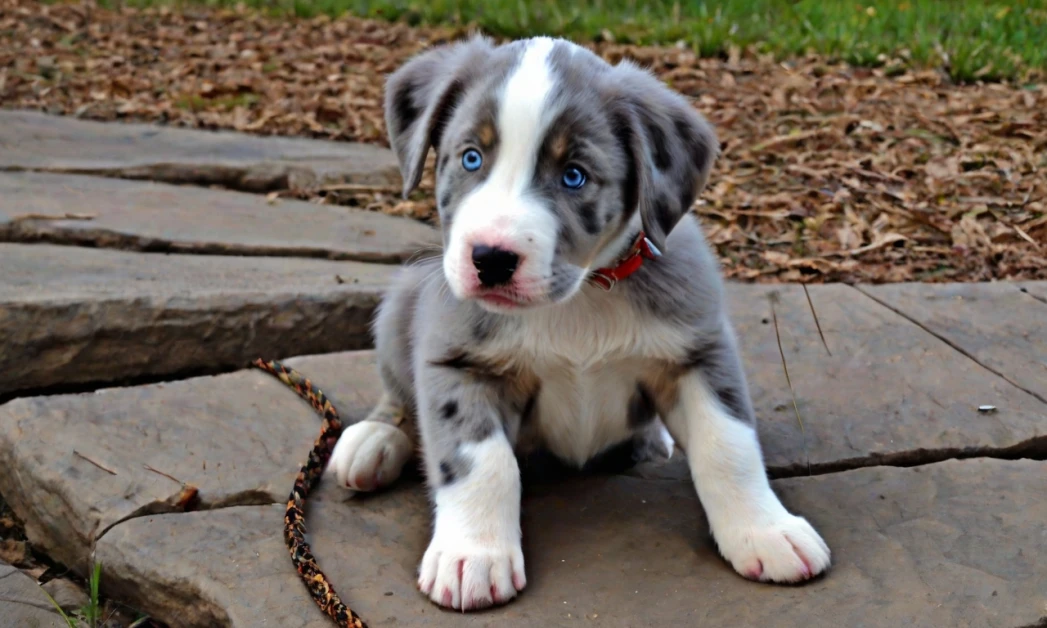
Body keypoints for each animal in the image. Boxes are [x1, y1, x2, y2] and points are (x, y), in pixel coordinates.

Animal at [326, 33, 833, 607]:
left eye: (574, 176)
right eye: (471, 158)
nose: (490, 259)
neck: (583, 296)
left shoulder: (700, 351)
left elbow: (729, 445)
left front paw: (766, 531)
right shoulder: (455, 361)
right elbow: (482, 462)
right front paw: (473, 555)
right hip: (400, 306)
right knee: (396, 397)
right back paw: (374, 441)